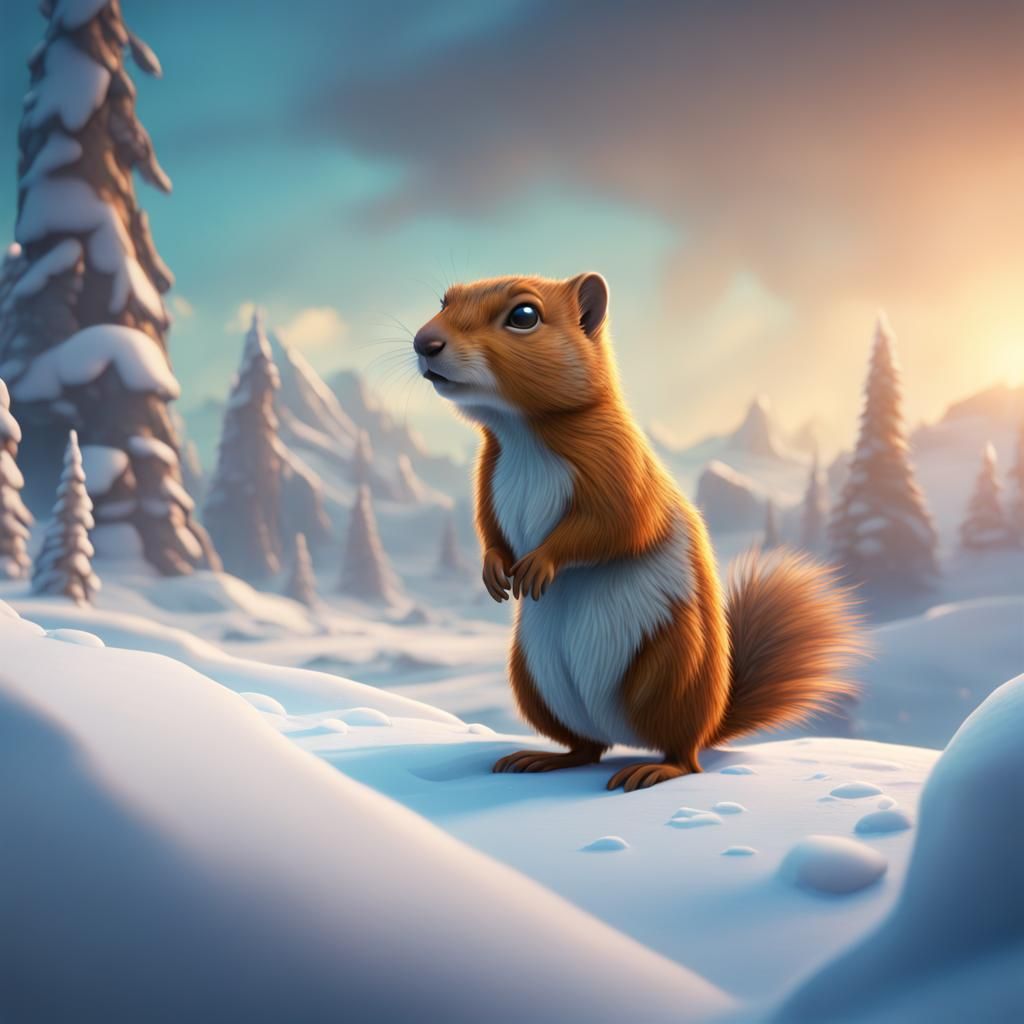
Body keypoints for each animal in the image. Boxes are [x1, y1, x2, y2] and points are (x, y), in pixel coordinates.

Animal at [413, 272, 864, 791]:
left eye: (524, 316)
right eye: (443, 300)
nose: (424, 342)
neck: (521, 430)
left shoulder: (622, 470)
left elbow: (615, 527)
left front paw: (539, 564)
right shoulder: (487, 476)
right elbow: (489, 530)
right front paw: (493, 570)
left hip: (671, 671)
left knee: (684, 754)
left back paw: (654, 768)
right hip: (534, 684)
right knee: (585, 748)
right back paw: (541, 758)